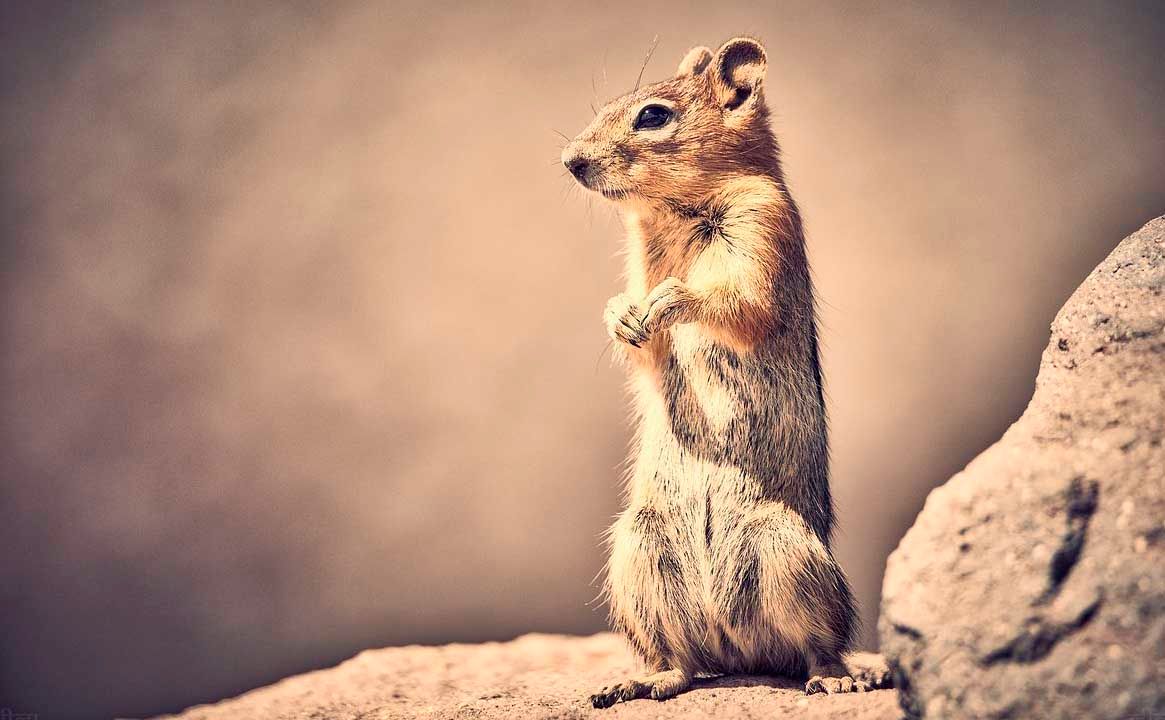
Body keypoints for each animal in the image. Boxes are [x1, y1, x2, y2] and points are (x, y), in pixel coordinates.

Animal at [561, 38, 891, 707]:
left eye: (653, 115)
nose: (569, 161)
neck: (676, 213)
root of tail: (737, 650)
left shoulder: (764, 230)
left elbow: (736, 306)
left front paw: (672, 300)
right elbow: (644, 350)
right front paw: (621, 314)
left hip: (787, 551)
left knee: (816, 647)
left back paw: (838, 676)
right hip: (639, 551)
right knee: (681, 663)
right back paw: (640, 681)